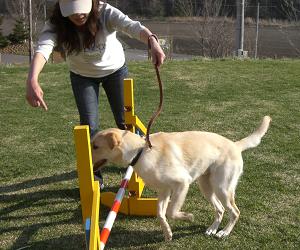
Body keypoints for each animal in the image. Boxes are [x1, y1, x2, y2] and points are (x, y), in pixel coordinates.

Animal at [92, 116, 272, 241]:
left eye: (95, 146)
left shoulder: (181, 183)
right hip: (206, 187)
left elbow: (171, 211)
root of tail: (235, 145)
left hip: (222, 188)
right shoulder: (164, 191)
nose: (86, 155)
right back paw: (212, 229)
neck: (140, 151)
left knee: (235, 212)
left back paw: (223, 232)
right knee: (220, 209)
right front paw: (168, 233)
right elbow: (160, 213)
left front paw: (187, 217)